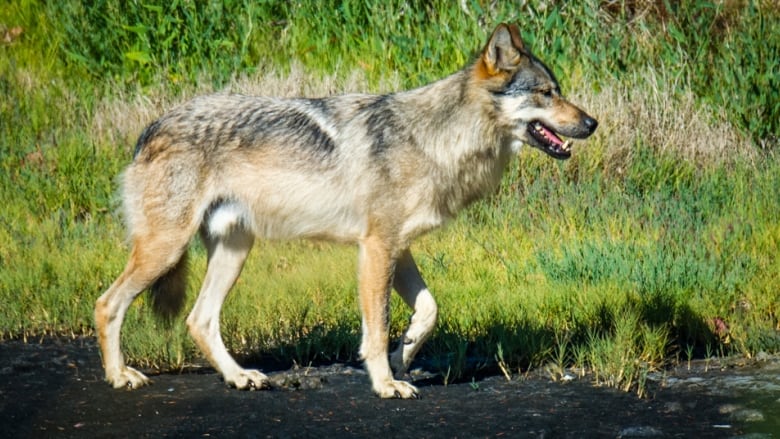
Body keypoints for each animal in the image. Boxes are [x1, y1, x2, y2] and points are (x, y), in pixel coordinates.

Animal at [96, 23, 596, 398]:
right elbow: (376, 328)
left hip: (233, 251)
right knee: (108, 304)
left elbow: (429, 309)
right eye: (546, 93)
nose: (592, 122)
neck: (437, 139)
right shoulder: (376, 248)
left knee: (198, 320)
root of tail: (152, 127)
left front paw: (405, 353)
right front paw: (387, 383)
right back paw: (120, 376)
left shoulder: (398, 247)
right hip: (166, 249)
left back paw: (240, 377)